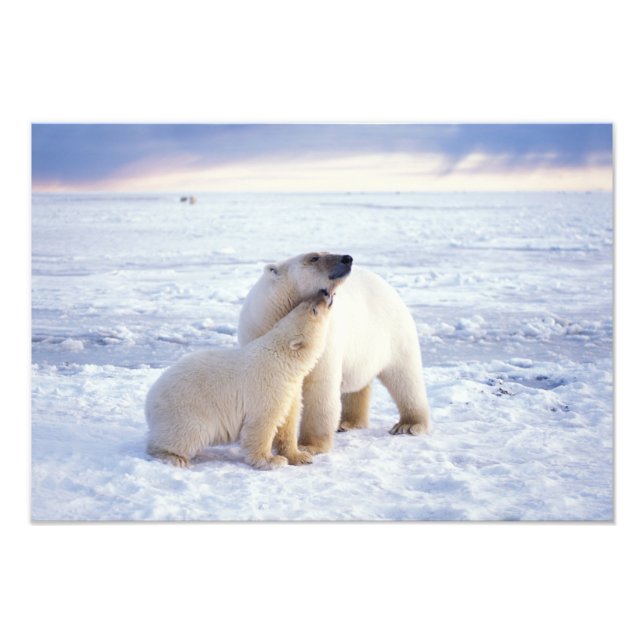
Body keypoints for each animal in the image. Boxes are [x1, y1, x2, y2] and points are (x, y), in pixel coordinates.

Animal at [145, 289, 335, 470]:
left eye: (304, 303)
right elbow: (262, 423)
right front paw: (272, 460)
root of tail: (150, 400)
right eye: (313, 309)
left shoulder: (290, 389)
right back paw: (174, 457)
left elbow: (287, 422)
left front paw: (301, 456)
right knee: (187, 434)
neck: (282, 360)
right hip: (186, 410)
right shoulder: (268, 385)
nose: (324, 292)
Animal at [237, 252, 431, 455]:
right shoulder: (258, 334)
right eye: (314, 257)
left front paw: (309, 445)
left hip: (394, 333)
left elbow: (319, 388)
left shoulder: (324, 339)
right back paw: (348, 422)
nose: (347, 258)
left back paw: (408, 425)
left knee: (405, 377)